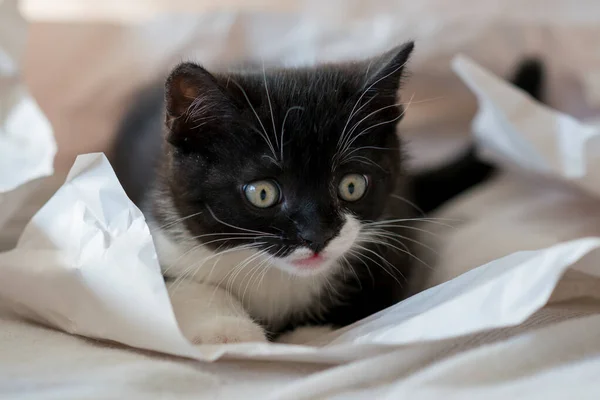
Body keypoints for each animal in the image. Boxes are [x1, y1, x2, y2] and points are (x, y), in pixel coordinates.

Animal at [112, 43, 544, 344]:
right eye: (262, 193)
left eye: (351, 185)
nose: (317, 235)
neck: (277, 276)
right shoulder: (157, 222)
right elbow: (175, 283)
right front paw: (226, 331)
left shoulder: (395, 241)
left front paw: (310, 336)